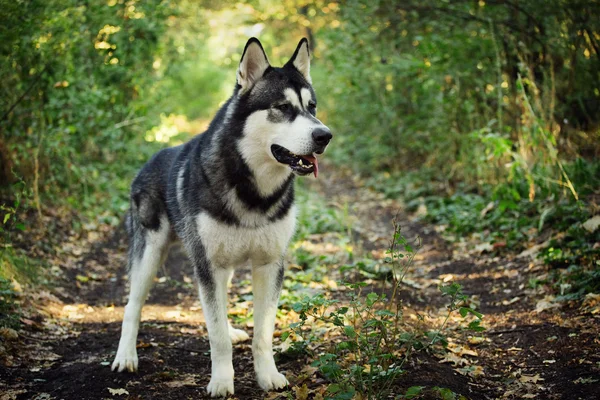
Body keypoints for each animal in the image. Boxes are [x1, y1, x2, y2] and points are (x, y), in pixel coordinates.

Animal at [109, 38, 332, 396]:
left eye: (312, 107)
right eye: (282, 107)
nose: (325, 135)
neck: (253, 190)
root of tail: (152, 157)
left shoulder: (269, 265)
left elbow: (262, 333)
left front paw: (267, 375)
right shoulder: (208, 265)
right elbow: (215, 337)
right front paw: (222, 381)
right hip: (150, 255)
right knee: (132, 306)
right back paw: (126, 356)